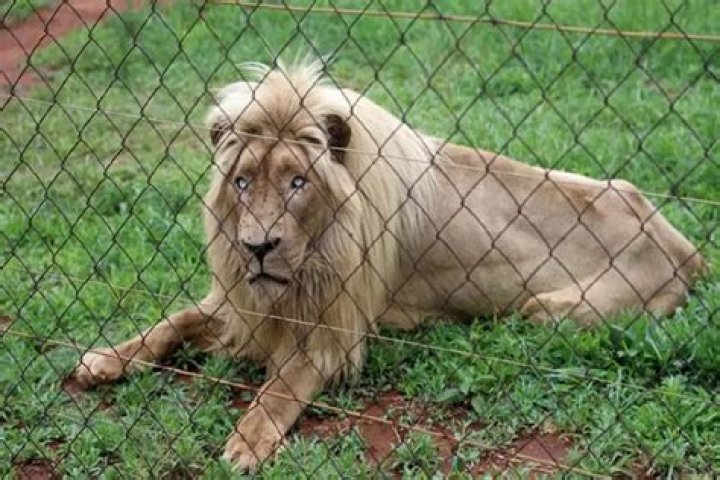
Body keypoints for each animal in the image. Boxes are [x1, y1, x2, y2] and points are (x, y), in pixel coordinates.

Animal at [73, 60, 706, 471]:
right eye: (243, 182)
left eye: (298, 182)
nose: (257, 247)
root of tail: (684, 246)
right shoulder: (241, 300)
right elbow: (173, 321)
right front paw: (104, 359)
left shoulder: (336, 328)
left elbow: (280, 387)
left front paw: (247, 444)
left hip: (548, 311)